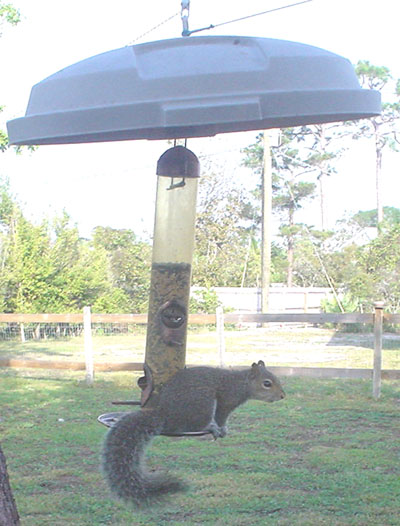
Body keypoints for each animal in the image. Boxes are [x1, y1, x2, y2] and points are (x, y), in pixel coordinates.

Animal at [103, 364, 284, 508]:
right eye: (267, 383)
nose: (283, 396)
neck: (241, 383)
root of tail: (165, 414)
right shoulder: (226, 400)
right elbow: (221, 416)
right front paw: (222, 428)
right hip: (203, 403)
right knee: (196, 424)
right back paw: (211, 427)